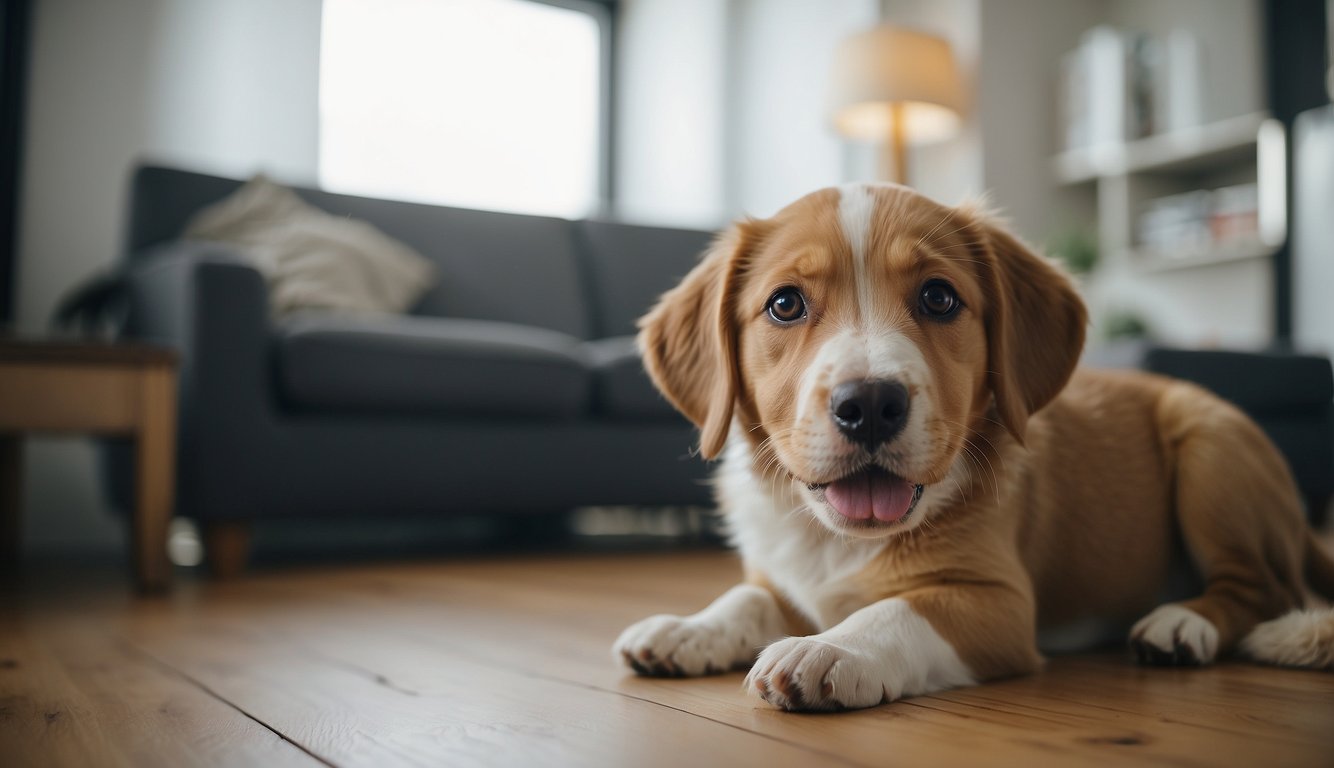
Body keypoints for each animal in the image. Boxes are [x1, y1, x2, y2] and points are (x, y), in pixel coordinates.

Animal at [613, 182, 1334, 709]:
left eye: (938, 297)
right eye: (785, 305)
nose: (868, 405)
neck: (836, 544)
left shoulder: (997, 602)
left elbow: (897, 612)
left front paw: (830, 649)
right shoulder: (780, 576)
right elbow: (748, 598)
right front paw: (689, 628)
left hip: (1212, 450)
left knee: (1264, 588)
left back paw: (1185, 624)